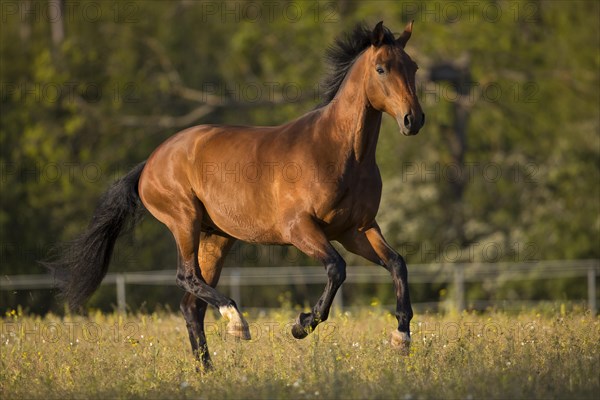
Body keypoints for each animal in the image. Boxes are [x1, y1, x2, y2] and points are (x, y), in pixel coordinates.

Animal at [45, 21, 426, 368]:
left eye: (413, 67)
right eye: (381, 68)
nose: (414, 120)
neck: (339, 152)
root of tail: (151, 161)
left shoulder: (356, 229)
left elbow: (397, 263)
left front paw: (401, 338)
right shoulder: (300, 229)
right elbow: (336, 269)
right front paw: (301, 325)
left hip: (217, 238)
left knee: (191, 305)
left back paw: (207, 371)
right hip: (184, 221)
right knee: (187, 278)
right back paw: (236, 322)